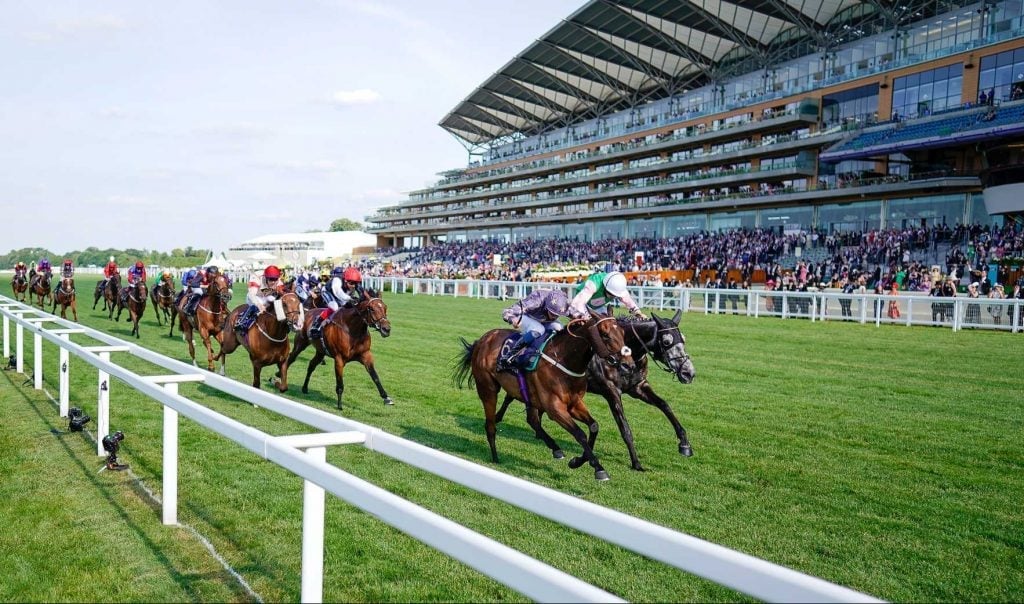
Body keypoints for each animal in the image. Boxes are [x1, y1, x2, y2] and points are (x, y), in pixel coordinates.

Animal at [454, 317, 634, 483]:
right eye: (605, 334)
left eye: (623, 333)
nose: (629, 366)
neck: (564, 359)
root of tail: (482, 339)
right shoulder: (554, 408)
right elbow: (580, 434)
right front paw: (598, 468)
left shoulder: (574, 404)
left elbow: (594, 426)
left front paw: (578, 460)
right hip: (488, 389)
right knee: (490, 425)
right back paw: (495, 457)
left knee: (532, 420)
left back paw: (555, 449)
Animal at [495, 313, 696, 472]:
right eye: (667, 341)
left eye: (684, 339)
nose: (689, 373)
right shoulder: (611, 392)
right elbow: (624, 428)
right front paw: (636, 463)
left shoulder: (638, 387)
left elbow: (664, 405)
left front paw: (684, 443)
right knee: (511, 397)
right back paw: (498, 417)